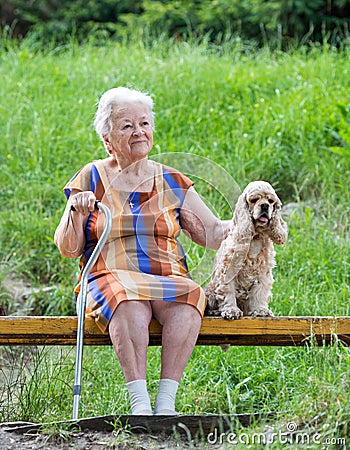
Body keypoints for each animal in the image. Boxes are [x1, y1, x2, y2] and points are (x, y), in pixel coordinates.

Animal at [205, 180, 288, 320]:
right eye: (254, 200)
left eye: (271, 201)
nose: (265, 206)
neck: (255, 237)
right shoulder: (228, 270)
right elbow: (228, 292)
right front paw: (231, 310)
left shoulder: (263, 272)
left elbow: (260, 291)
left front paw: (260, 310)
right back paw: (214, 311)